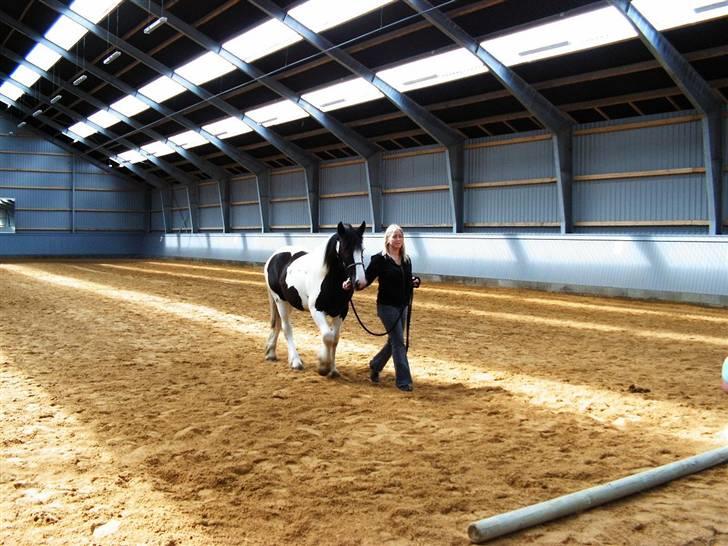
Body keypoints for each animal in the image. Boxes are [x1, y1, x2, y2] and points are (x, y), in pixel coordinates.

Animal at [264, 219, 366, 376]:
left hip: (288, 303)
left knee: (278, 325)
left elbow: (335, 339)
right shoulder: (316, 310)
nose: (359, 282)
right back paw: (295, 361)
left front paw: (333, 369)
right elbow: (327, 336)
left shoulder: (341, 312)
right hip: (280, 301)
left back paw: (271, 353)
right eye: (345, 249)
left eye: (362, 250)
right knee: (286, 328)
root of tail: (274, 256)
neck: (329, 279)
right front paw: (323, 365)